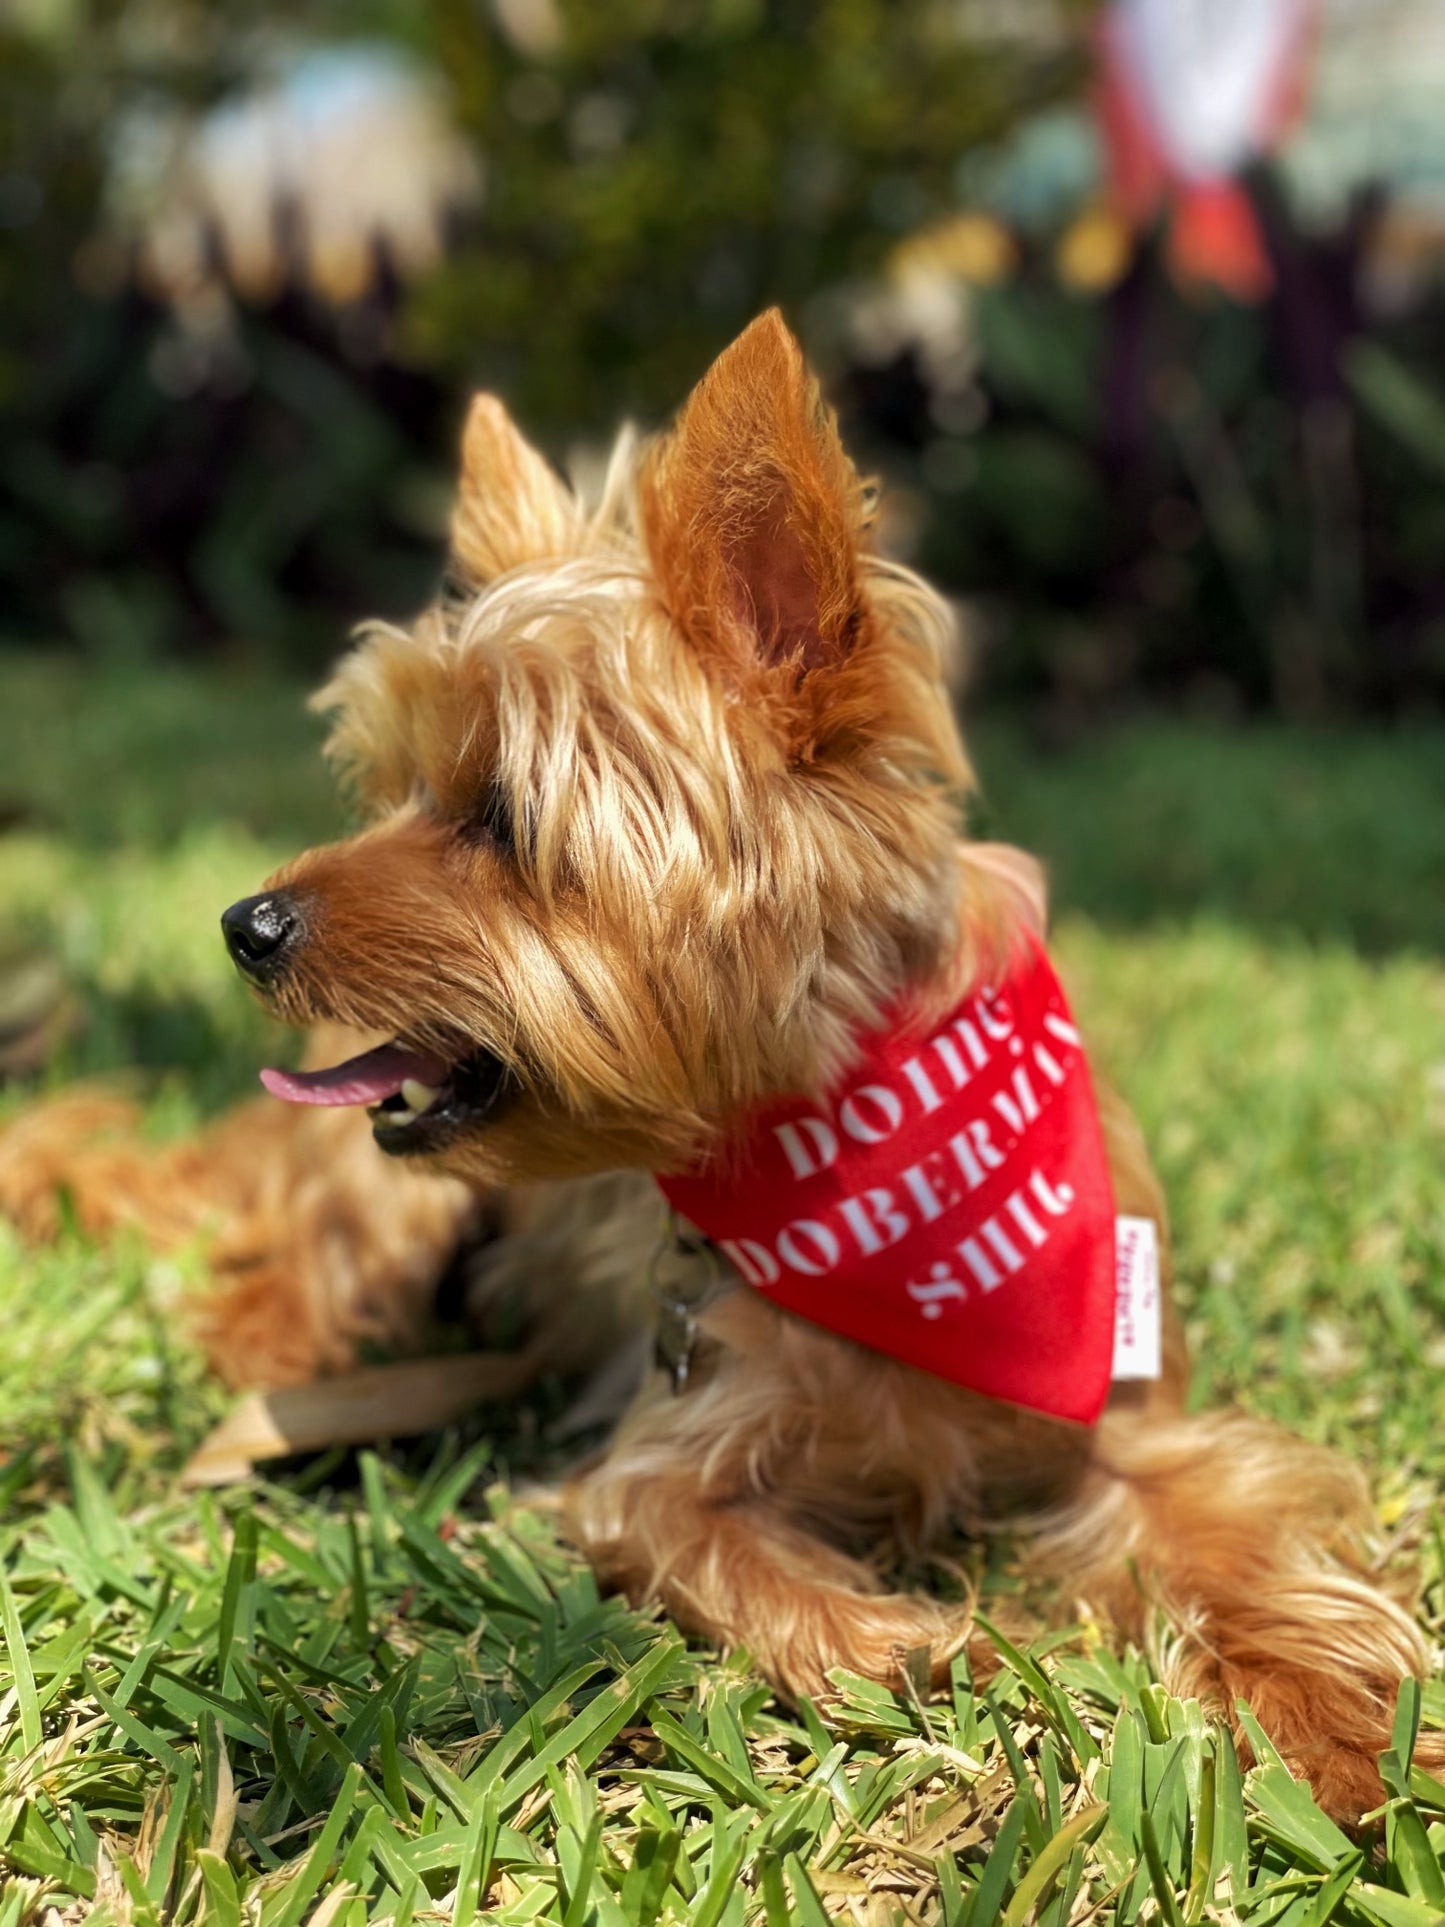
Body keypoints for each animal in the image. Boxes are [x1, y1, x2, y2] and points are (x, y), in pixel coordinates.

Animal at [5, 312, 1441, 1803]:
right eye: (395, 792)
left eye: (498, 818)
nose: (246, 922)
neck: (849, 1149)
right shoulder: (661, 1454)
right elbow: (700, 1537)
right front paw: (905, 1641)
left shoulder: (1129, 1409)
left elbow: (1239, 1539)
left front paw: (1343, 1738)